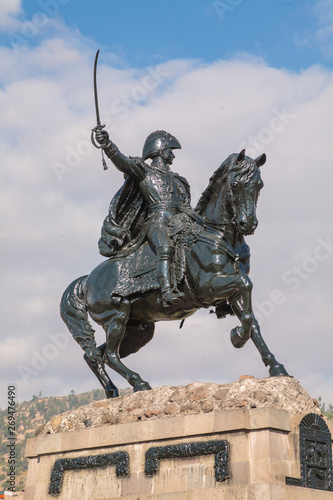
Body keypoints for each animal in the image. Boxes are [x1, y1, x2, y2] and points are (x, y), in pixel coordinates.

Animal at [60, 148, 288, 398]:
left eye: (259, 185)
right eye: (236, 184)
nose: (249, 224)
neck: (220, 236)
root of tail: (87, 281)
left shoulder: (232, 293)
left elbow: (252, 320)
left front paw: (275, 366)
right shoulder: (209, 287)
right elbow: (246, 285)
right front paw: (237, 337)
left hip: (138, 331)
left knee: (96, 356)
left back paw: (112, 391)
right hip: (115, 317)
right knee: (110, 355)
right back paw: (139, 383)